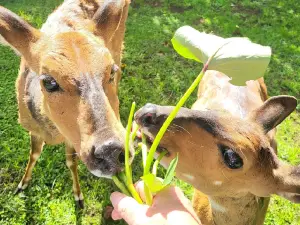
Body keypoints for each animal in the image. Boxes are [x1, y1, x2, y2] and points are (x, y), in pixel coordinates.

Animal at [0, 0, 131, 207]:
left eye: (111, 71)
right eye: (49, 81)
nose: (111, 150)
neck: (53, 134)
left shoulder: (72, 138)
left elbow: (71, 162)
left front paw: (78, 197)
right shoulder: (32, 128)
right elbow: (34, 154)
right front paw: (22, 185)